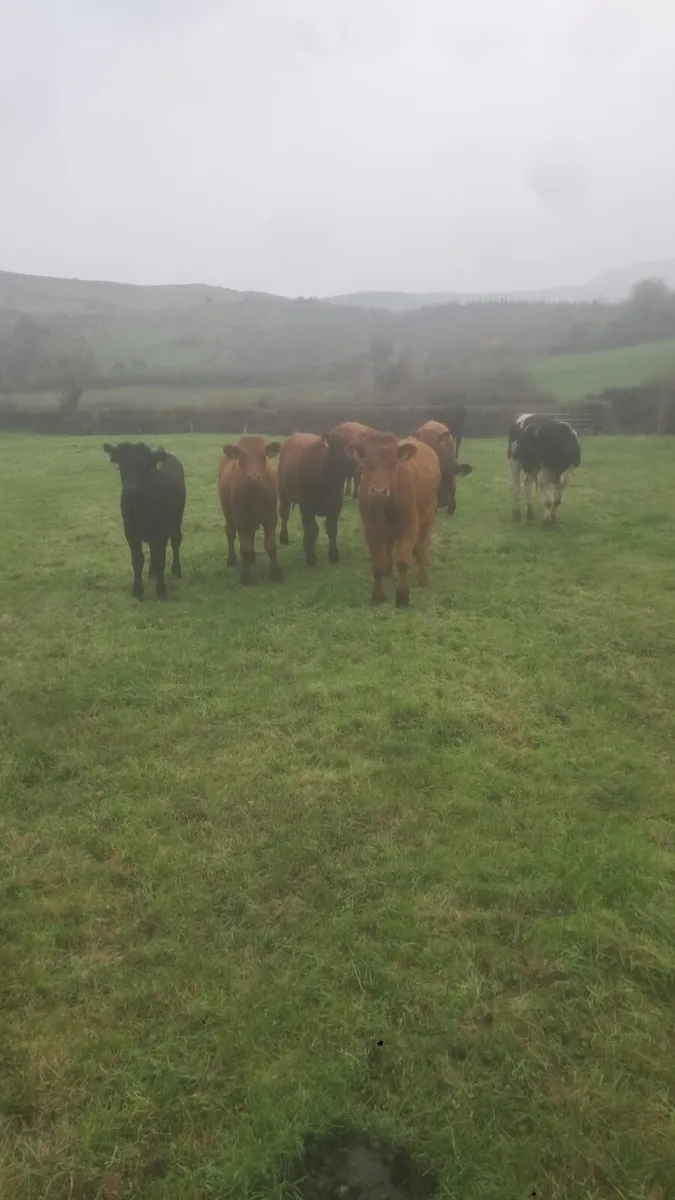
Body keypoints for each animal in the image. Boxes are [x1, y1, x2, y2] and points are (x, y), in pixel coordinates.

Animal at [103, 441, 185, 601]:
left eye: (144, 467)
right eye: (122, 467)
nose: (131, 490)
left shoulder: (161, 531)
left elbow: (160, 559)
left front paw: (161, 590)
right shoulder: (130, 533)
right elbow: (137, 560)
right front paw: (137, 590)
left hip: (176, 520)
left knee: (175, 542)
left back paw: (176, 569)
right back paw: (152, 572)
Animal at [218, 436, 283, 584]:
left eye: (263, 455)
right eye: (241, 455)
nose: (253, 477)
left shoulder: (271, 517)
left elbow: (271, 545)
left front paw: (276, 573)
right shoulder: (241, 519)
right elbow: (245, 547)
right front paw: (245, 576)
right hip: (227, 511)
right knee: (230, 532)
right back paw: (231, 558)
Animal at [278, 431, 350, 566]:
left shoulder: (336, 506)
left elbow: (331, 529)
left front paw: (333, 555)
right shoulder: (307, 506)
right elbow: (312, 529)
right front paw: (311, 557)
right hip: (282, 490)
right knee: (284, 513)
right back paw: (284, 538)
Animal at [347, 431, 440, 607]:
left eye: (394, 462)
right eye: (366, 461)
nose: (378, 490)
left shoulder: (411, 526)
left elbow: (403, 561)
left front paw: (402, 596)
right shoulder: (370, 529)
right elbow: (377, 565)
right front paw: (377, 595)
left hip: (428, 514)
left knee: (423, 545)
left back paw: (422, 577)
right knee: (390, 546)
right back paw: (388, 569)